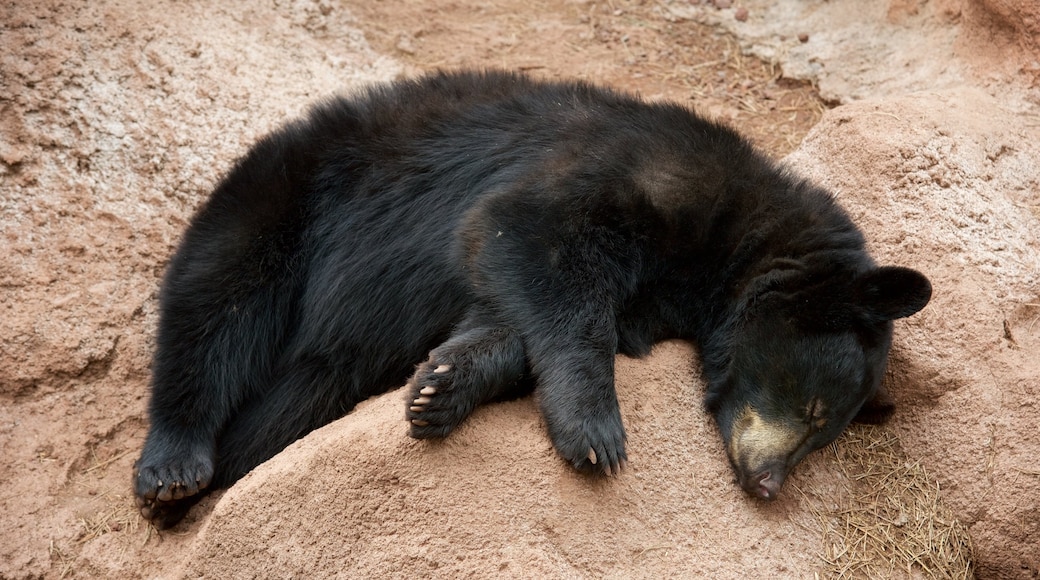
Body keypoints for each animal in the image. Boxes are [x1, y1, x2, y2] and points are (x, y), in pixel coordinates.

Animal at [132, 70, 935, 530]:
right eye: (818, 412)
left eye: (824, 438)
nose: (769, 485)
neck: (729, 242)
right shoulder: (632, 172)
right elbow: (526, 237)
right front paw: (596, 432)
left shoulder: (652, 296)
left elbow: (511, 312)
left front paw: (442, 387)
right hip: (290, 195)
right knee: (215, 304)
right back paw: (175, 469)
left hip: (319, 360)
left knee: (290, 398)